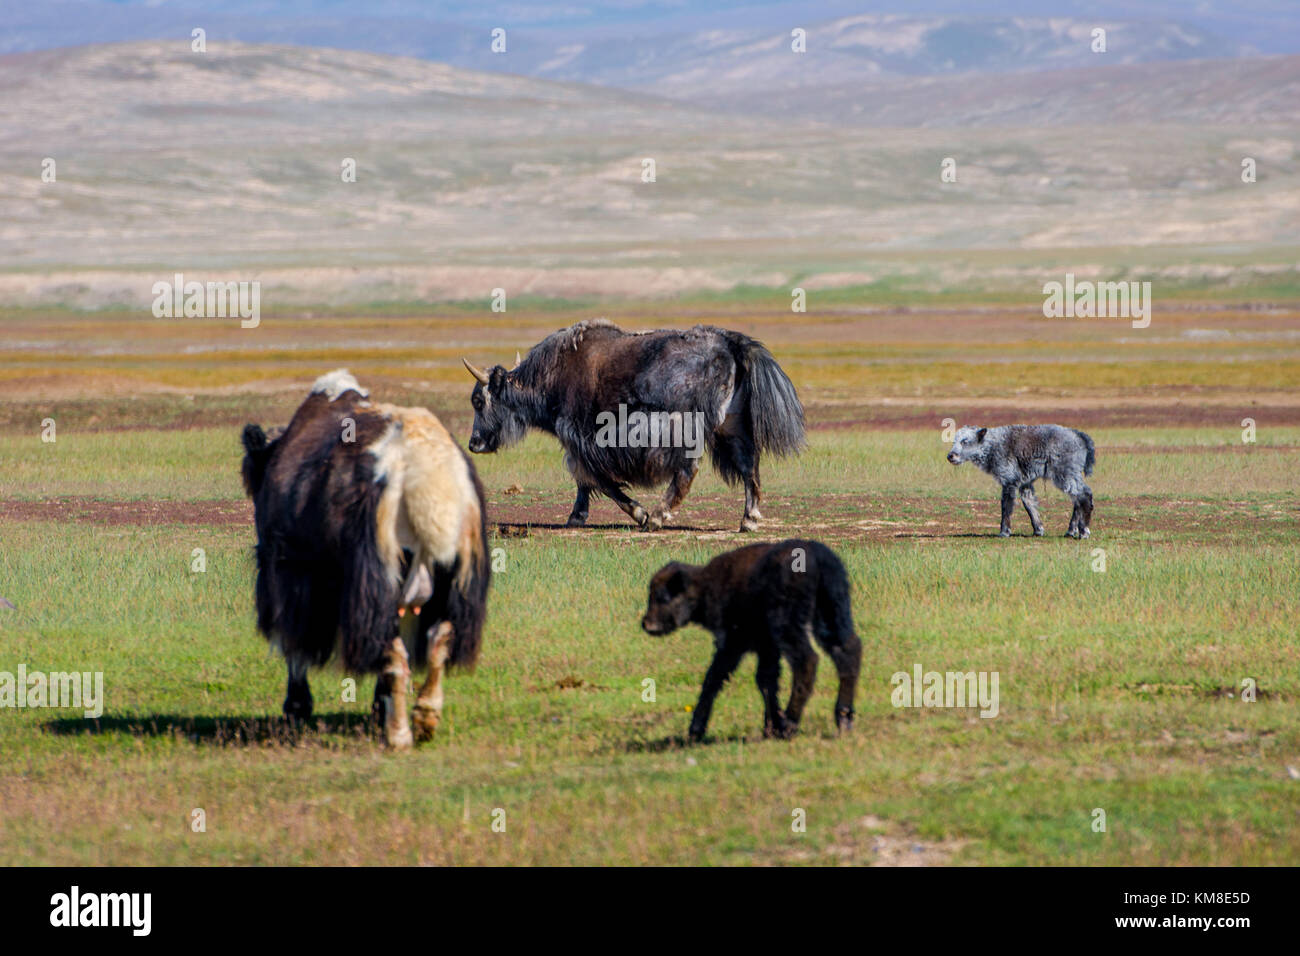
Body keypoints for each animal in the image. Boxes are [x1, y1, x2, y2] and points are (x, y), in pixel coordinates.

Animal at [241, 369, 488, 749]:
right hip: (450, 581)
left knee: (393, 651)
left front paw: (296, 708)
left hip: (373, 579)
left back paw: (399, 735)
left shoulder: (290, 573)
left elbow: (294, 642)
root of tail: (428, 474)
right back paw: (424, 719)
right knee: (438, 639)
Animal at [642, 541, 863, 743]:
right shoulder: (767, 647)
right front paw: (770, 727)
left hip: (790, 627)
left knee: (808, 660)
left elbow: (714, 678)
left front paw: (695, 731)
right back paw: (843, 720)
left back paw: (789, 724)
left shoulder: (732, 644)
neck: (704, 585)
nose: (646, 624)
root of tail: (818, 558)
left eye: (662, 597)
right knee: (847, 651)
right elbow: (766, 681)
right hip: (831, 616)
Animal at [951, 424, 1092, 538]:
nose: (950, 456)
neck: (993, 444)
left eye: (965, 441)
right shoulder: (1025, 483)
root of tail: (1079, 435)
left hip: (1065, 474)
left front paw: (1004, 532)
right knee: (1077, 499)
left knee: (1085, 495)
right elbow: (1029, 503)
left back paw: (1084, 532)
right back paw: (1071, 531)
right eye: (954, 441)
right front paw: (1038, 530)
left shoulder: (1009, 480)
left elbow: (1006, 506)